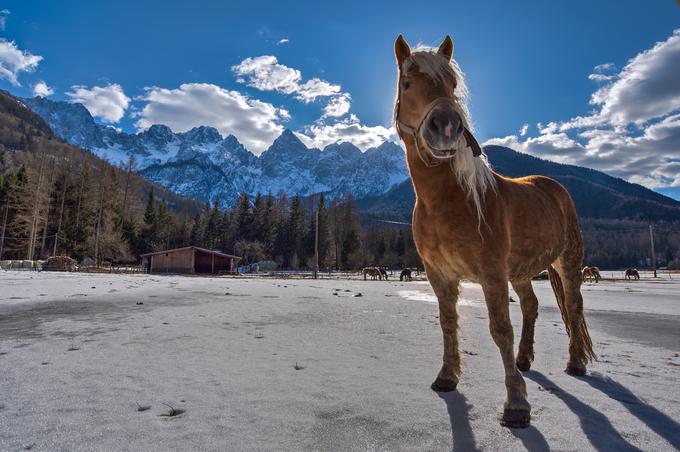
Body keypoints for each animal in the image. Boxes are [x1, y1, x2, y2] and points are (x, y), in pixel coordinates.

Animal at [394, 34, 596, 428]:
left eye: (453, 85)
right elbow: (448, 322)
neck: (447, 201)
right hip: (520, 271)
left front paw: (516, 403)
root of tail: (553, 186)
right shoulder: (438, 274)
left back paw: (575, 363)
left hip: (567, 261)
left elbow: (501, 329)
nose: (446, 125)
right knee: (532, 306)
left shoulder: (491, 273)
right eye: (407, 83)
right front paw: (447, 377)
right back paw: (524, 359)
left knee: (574, 307)